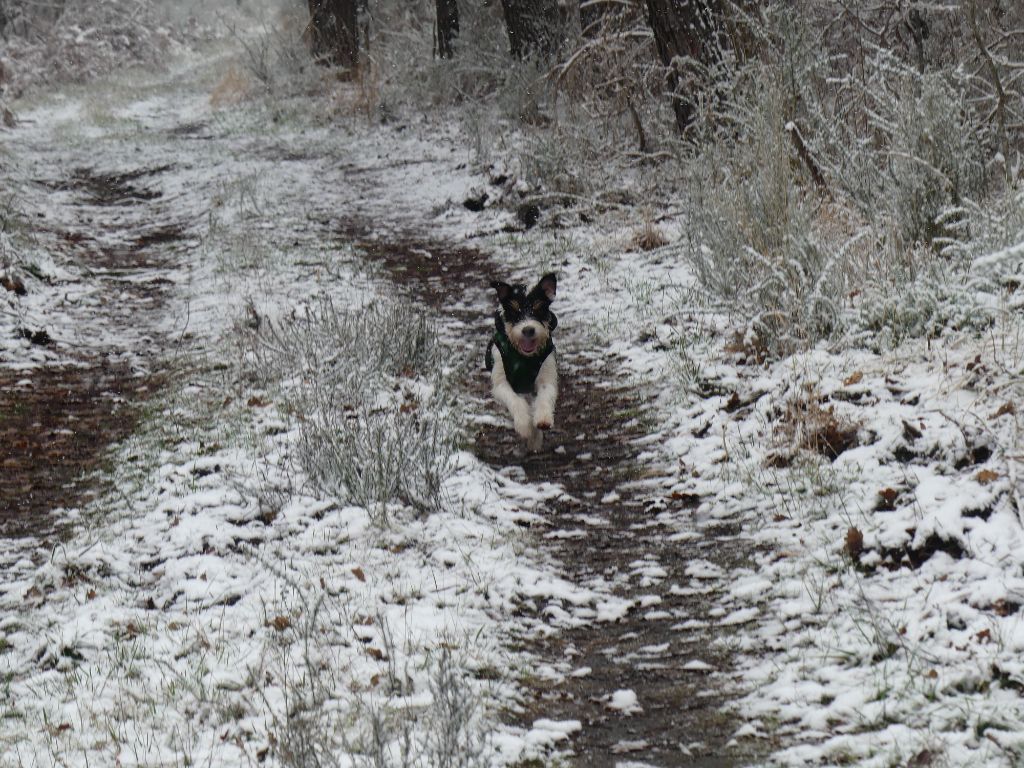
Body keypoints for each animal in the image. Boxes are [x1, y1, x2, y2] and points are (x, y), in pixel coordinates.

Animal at [483, 274, 557, 454]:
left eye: (538, 308)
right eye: (514, 310)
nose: (528, 330)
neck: (524, 357)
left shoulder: (546, 375)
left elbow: (545, 395)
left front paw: (543, 419)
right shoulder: (501, 383)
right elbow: (515, 400)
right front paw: (524, 425)